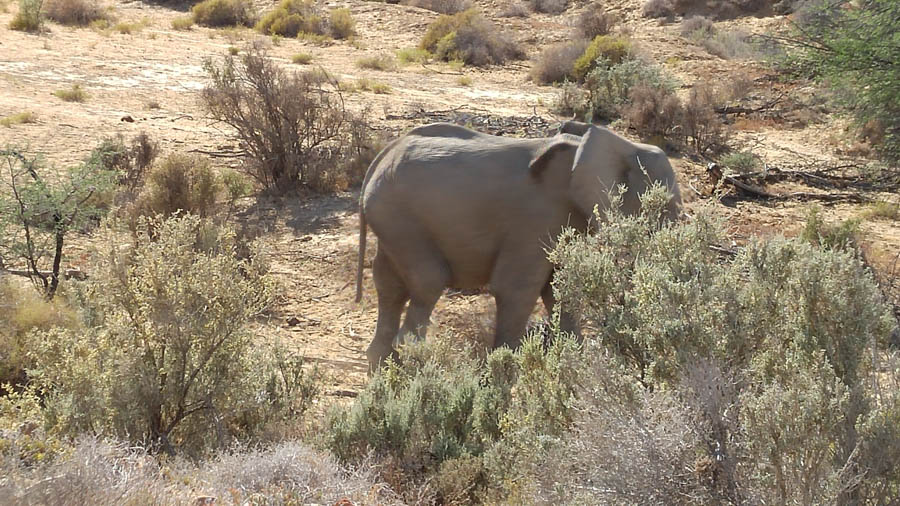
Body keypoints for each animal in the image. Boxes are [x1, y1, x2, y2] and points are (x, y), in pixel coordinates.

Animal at [356, 120, 680, 370]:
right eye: (665, 206)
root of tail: (381, 158)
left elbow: (559, 287)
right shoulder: (535, 220)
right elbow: (516, 289)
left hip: (390, 222)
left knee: (389, 285)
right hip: (400, 218)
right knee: (429, 281)